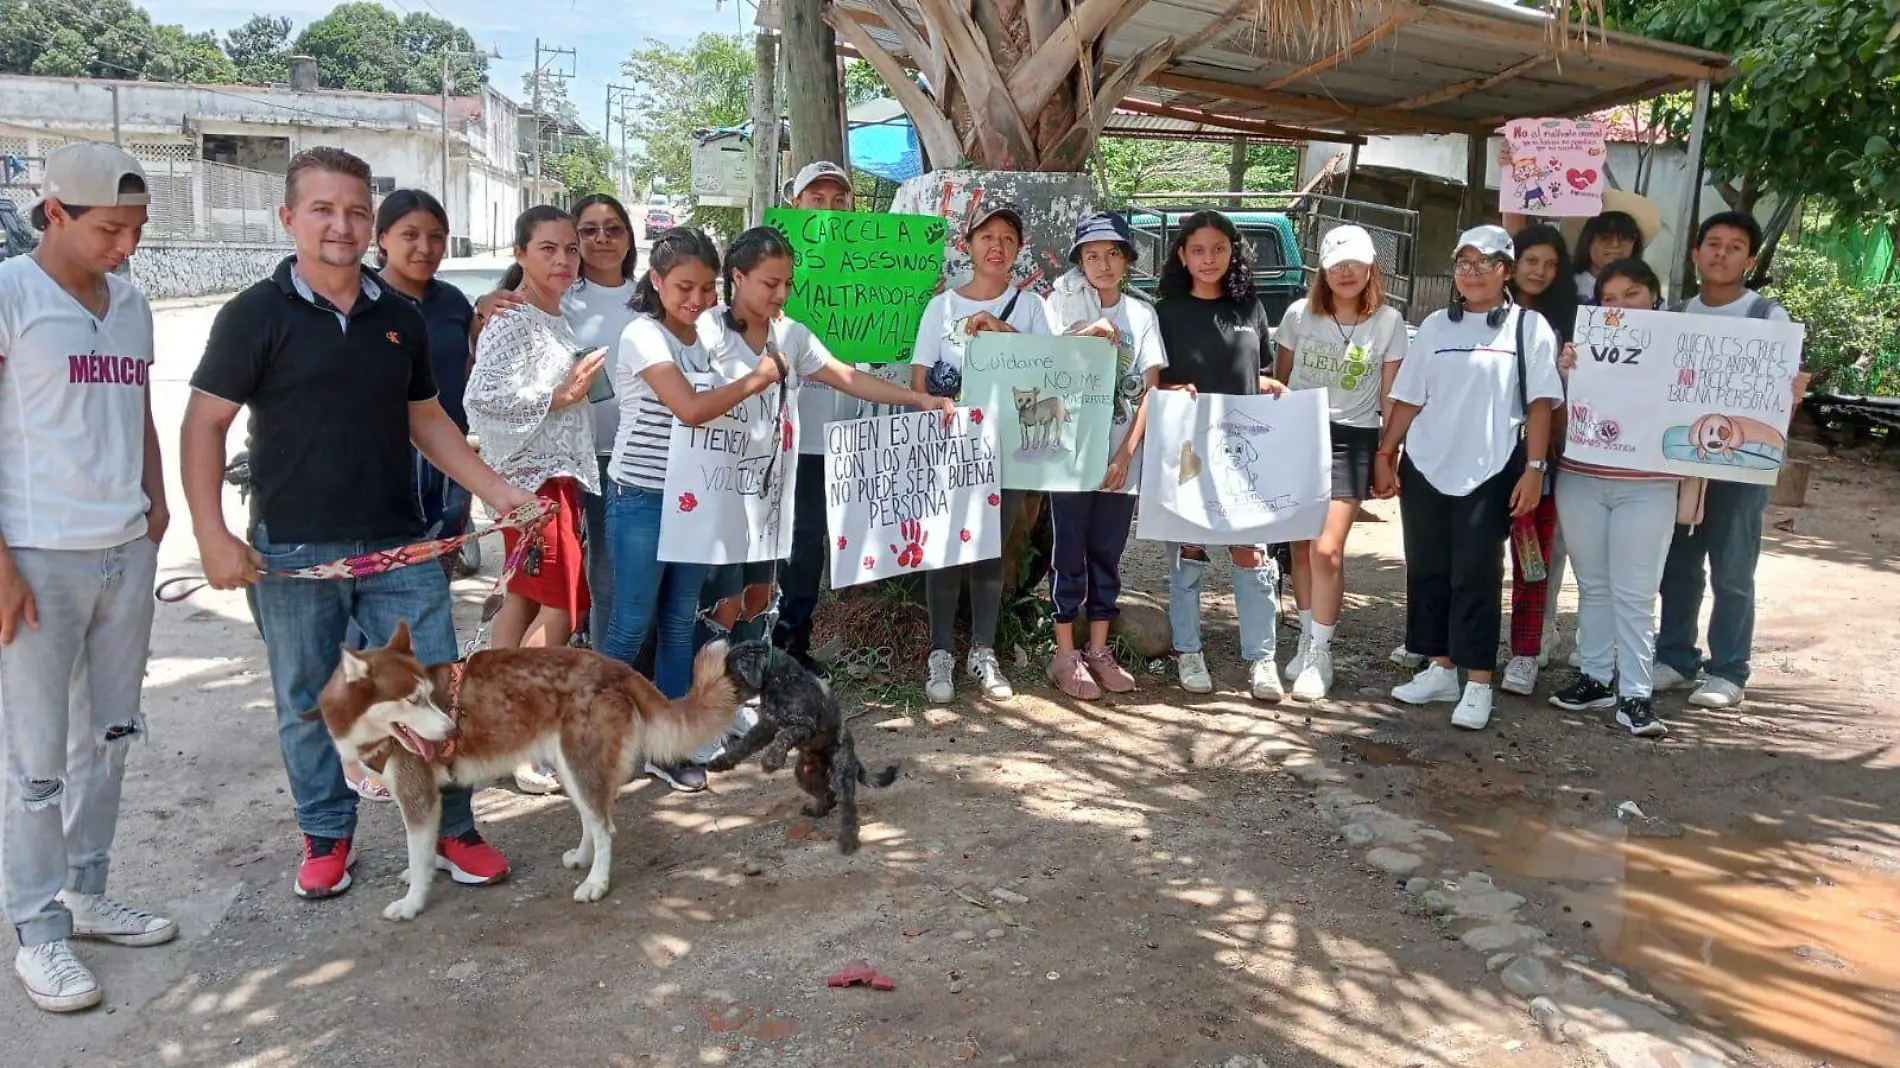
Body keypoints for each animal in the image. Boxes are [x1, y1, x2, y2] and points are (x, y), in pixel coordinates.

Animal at [710, 634, 900, 851]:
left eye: (732, 676)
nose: (720, 698)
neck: (779, 680)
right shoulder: (766, 725)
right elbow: (744, 745)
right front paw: (720, 762)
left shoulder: (803, 725)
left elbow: (782, 738)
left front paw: (770, 761)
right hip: (805, 776)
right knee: (829, 796)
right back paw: (816, 811)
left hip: (842, 774)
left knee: (847, 808)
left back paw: (848, 841)